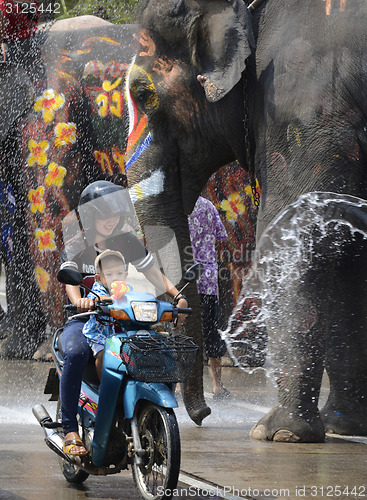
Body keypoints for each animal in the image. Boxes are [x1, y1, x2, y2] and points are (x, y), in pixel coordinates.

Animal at [123, 0, 367, 440]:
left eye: (143, 94)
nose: (203, 416)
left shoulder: (304, 110)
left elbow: (295, 230)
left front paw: (278, 434)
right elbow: (346, 242)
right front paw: (343, 425)